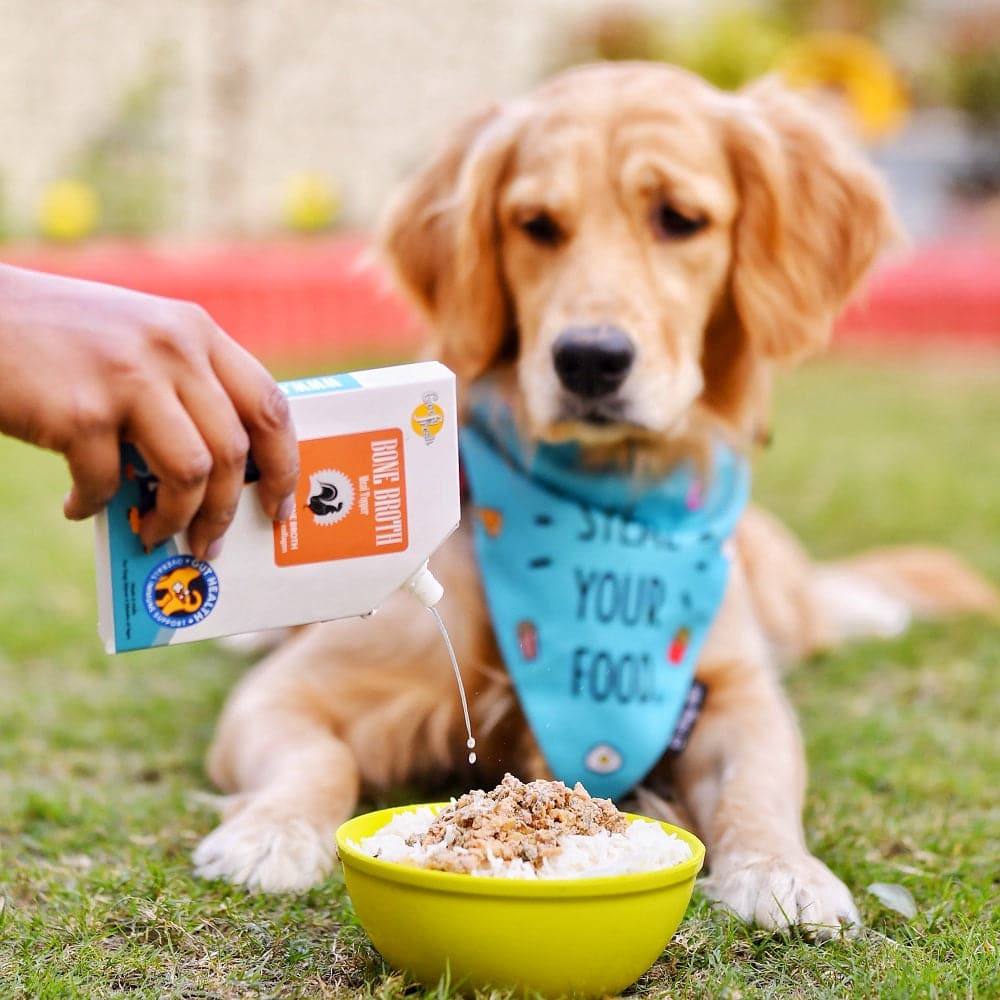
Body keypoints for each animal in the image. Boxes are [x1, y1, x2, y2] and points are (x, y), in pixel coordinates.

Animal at [191, 62, 996, 936]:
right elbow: (318, 755)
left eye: (679, 219)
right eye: (536, 225)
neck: (604, 506)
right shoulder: (293, 691)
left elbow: (759, 787)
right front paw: (270, 833)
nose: (589, 360)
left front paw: (784, 871)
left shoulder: (737, 691)